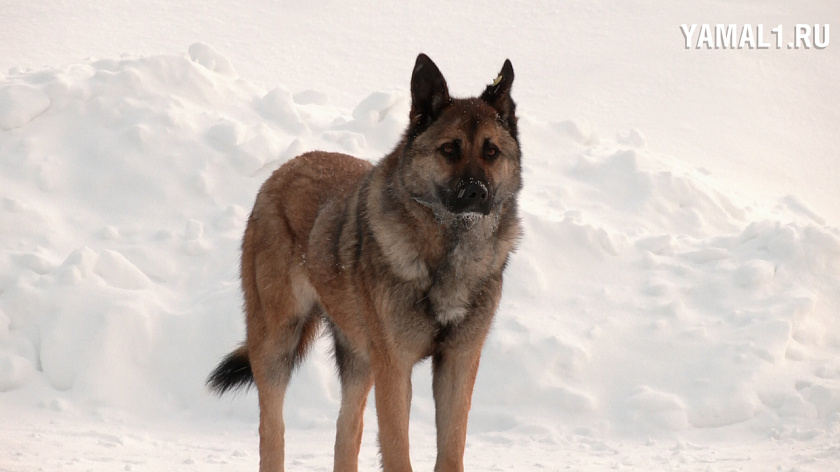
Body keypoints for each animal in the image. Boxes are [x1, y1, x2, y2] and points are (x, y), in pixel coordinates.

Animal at [208, 52, 520, 472]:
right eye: (449, 149)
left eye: (491, 152)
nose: (476, 192)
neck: (447, 251)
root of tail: (283, 170)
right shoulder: (395, 367)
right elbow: (397, 450)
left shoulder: (458, 361)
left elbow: (451, 450)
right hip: (278, 342)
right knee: (271, 430)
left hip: (358, 360)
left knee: (346, 431)